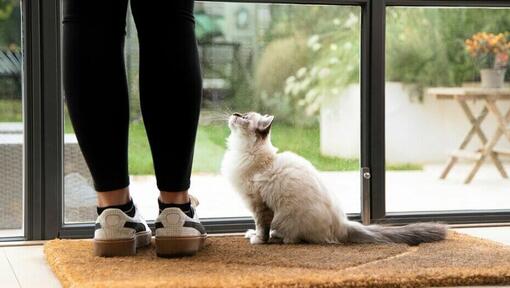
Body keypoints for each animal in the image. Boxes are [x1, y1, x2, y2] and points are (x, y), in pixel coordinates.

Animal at [221, 111, 448, 244]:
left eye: (244, 117)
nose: (234, 113)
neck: (246, 153)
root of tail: (344, 224)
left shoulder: (260, 206)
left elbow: (262, 228)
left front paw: (258, 240)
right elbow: (259, 227)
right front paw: (254, 235)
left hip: (287, 218)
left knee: (292, 239)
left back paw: (278, 237)